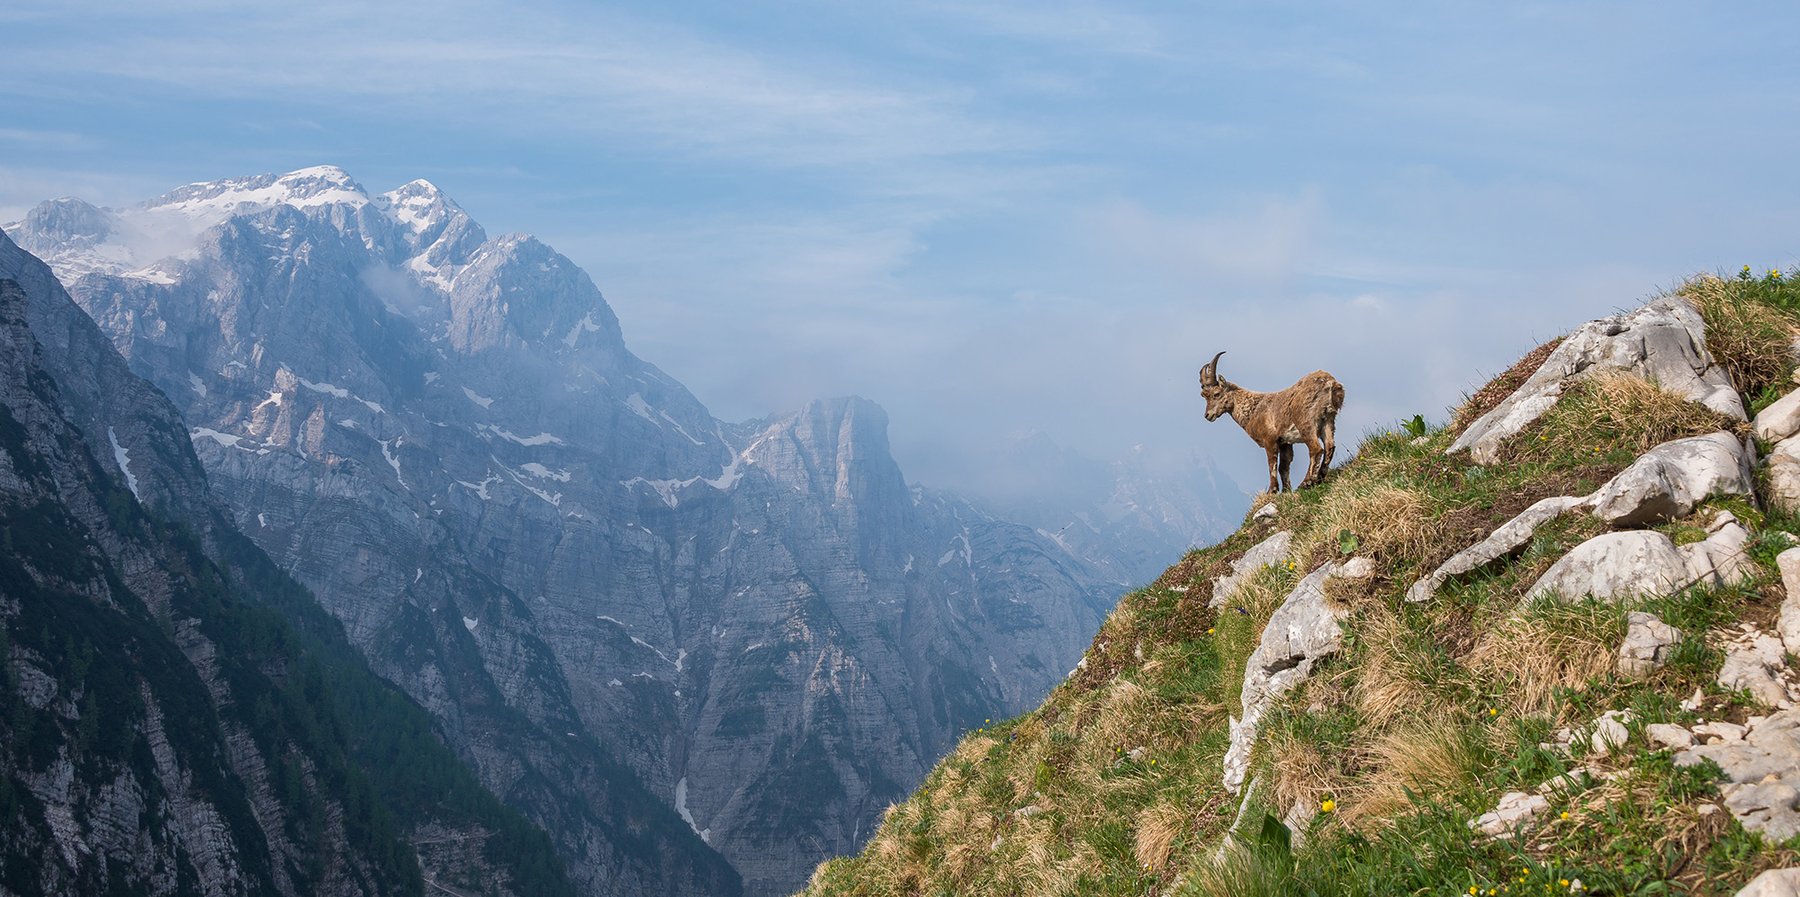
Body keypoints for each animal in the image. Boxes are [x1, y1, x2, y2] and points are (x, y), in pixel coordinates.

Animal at [1198, 352, 1345, 494]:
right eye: (1204, 396)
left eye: (1216, 394)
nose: (1208, 415)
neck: (1252, 409)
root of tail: (1330, 383)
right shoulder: (1285, 442)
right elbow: (1283, 466)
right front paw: (1286, 491)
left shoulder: (1269, 439)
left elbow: (1271, 464)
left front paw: (1272, 490)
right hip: (1328, 420)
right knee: (1329, 446)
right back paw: (1320, 477)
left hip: (1306, 422)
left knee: (1316, 449)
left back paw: (1306, 482)